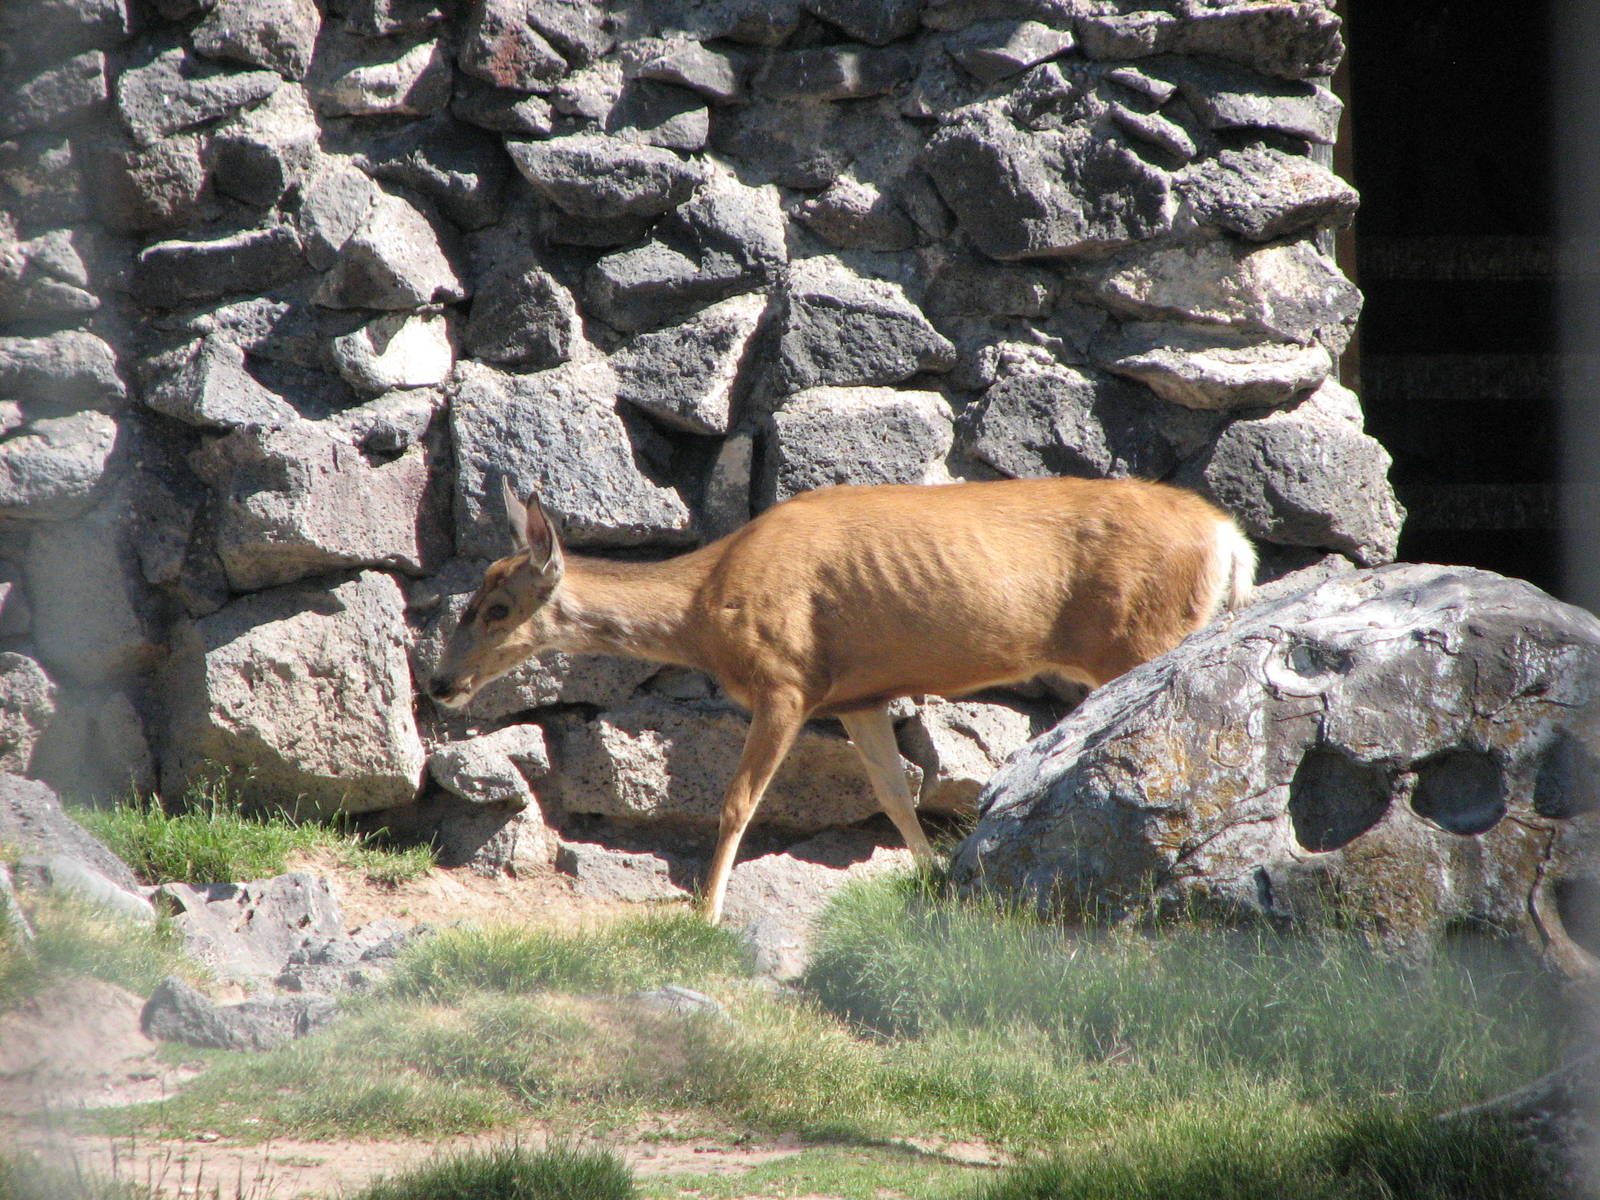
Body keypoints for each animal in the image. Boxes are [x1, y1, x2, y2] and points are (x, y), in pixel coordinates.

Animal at [428, 475, 1256, 923]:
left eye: (497, 608)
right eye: (472, 597)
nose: (440, 683)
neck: (706, 605)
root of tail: (1229, 538)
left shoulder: (787, 680)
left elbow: (735, 803)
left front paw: (707, 911)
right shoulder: (859, 695)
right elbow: (894, 793)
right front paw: (933, 877)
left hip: (1145, 636)